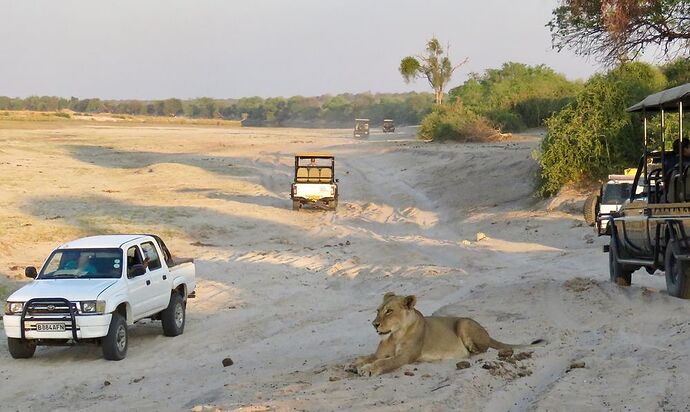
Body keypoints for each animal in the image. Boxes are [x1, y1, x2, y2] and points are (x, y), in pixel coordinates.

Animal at [350, 292, 544, 374]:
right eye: (378, 310)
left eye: (389, 311)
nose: (374, 324)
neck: (395, 334)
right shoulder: (380, 352)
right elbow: (370, 356)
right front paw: (354, 364)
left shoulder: (404, 357)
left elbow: (384, 362)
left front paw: (367, 369)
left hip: (464, 323)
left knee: (482, 350)